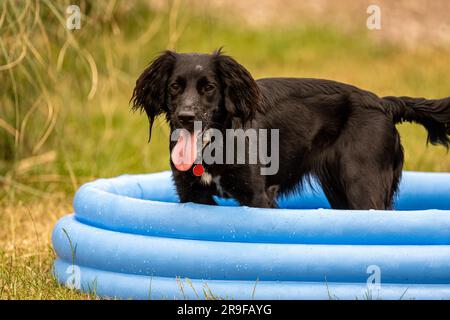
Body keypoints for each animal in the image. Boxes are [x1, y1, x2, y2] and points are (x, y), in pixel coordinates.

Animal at [130, 49, 450, 210]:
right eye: (175, 86)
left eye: (209, 88)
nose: (186, 116)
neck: (215, 144)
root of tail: (384, 103)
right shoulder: (192, 195)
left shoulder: (257, 197)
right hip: (339, 191)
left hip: (364, 186)